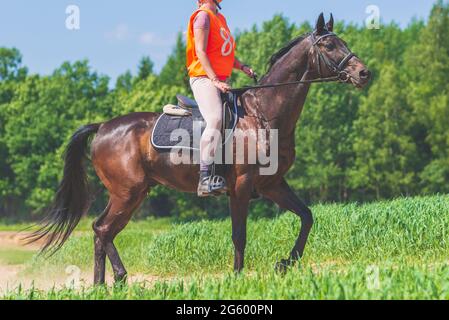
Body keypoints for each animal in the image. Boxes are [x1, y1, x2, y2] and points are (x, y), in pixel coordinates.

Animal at [28, 13, 372, 284]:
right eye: (329, 46)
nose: (363, 73)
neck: (264, 113)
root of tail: (102, 127)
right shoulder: (242, 186)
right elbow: (239, 234)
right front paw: (237, 278)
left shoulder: (272, 184)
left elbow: (306, 217)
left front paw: (286, 263)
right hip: (127, 191)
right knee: (102, 229)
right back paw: (104, 283)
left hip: (134, 193)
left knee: (104, 230)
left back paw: (116, 280)